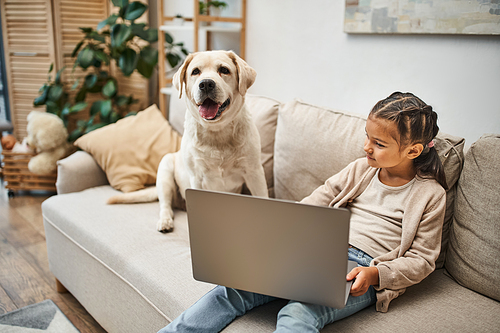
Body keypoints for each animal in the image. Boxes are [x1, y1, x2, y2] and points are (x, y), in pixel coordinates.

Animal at [106, 50, 270, 231]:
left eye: (224, 70)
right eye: (195, 72)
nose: (206, 84)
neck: (217, 132)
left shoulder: (254, 173)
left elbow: (262, 196)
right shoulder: (197, 177)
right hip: (165, 170)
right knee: (165, 205)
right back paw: (165, 221)